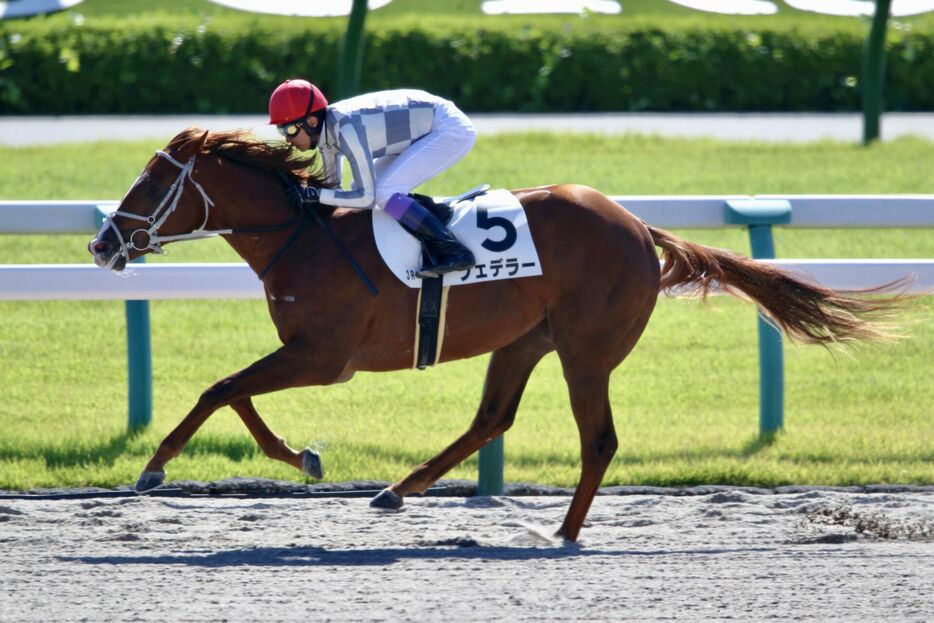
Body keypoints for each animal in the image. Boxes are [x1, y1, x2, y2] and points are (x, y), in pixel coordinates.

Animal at [88, 129, 908, 544]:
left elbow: (220, 388)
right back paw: (397, 489)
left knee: (597, 439)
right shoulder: (311, 354)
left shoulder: (325, 357)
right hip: (524, 338)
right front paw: (303, 457)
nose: (101, 244)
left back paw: (564, 532)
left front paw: (156, 467)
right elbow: (235, 393)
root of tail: (640, 227)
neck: (301, 235)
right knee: (492, 418)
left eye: (153, 183)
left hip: (586, 349)